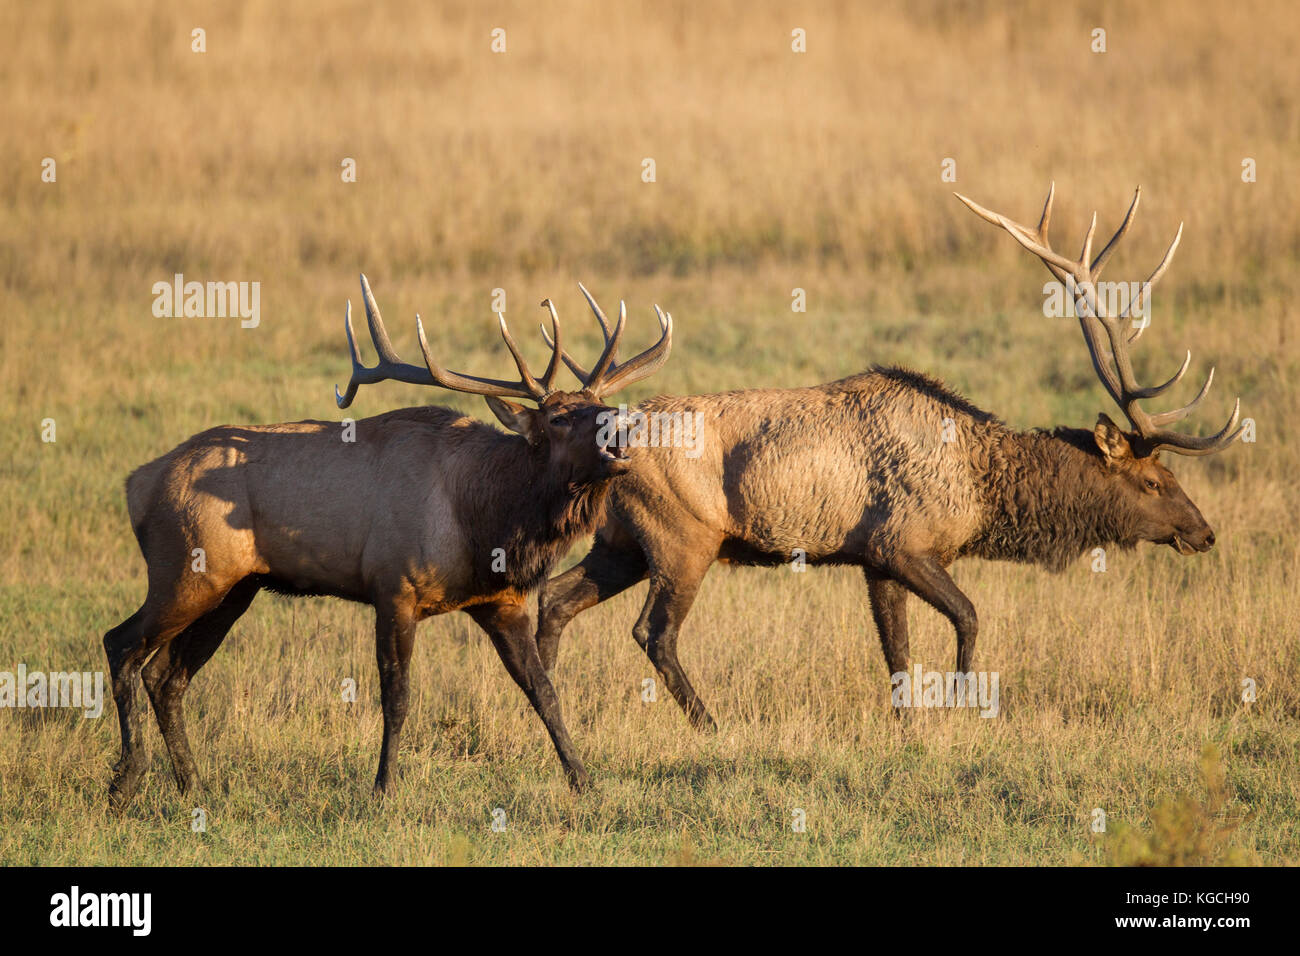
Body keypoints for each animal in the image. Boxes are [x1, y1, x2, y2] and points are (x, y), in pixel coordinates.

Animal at [102, 275, 672, 808]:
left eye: (599, 401)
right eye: (557, 417)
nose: (622, 426)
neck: (485, 519)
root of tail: (136, 483)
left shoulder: (500, 601)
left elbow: (544, 690)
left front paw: (584, 780)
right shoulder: (393, 588)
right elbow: (396, 696)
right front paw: (383, 788)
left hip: (233, 589)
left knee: (166, 676)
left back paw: (192, 785)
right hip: (185, 571)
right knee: (121, 643)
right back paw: (126, 782)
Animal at [535, 185, 1243, 731]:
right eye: (1153, 480)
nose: (1205, 533)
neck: (980, 492)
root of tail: (612, 438)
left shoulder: (874, 560)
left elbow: (897, 654)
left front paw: (909, 725)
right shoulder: (904, 543)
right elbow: (968, 617)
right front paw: (963, 707)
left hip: (621, 541)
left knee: (556, 601)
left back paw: (546, 706)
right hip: (684, 538)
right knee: (653, 632)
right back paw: (710, 723)